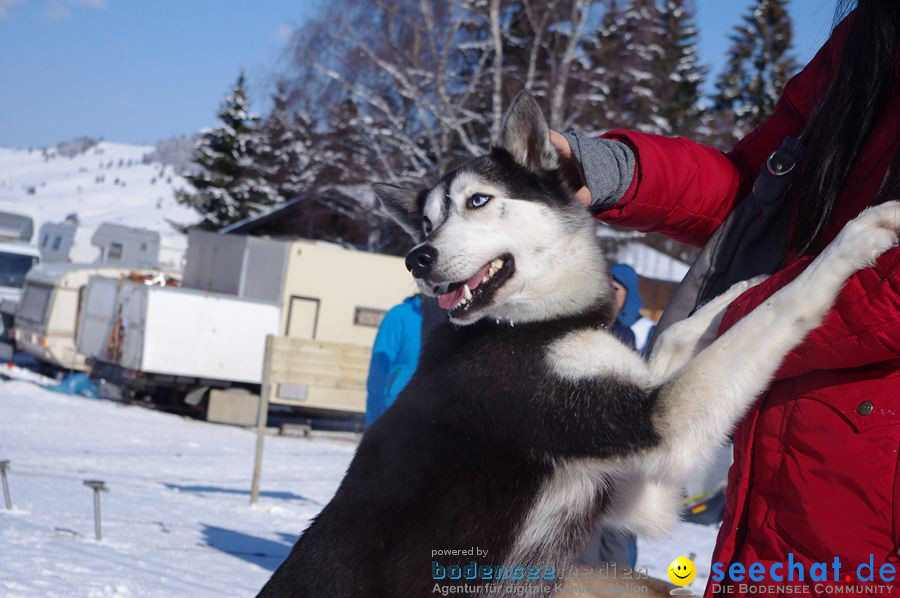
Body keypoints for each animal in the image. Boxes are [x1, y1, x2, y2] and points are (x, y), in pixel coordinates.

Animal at [256, 91, 896, 596]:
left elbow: (692, 328)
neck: (534, 325)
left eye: (478, 201)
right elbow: (773, 317)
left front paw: (745, 285)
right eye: (427, 224)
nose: (418, 257)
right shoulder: (659, 425)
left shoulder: (636, 483)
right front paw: (850, 240)